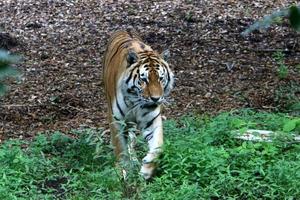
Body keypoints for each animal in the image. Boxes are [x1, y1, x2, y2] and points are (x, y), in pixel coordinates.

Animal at [102, 30, 175, 179]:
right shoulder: (116, 121)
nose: (156, 99)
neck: (135, 101)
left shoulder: (151, 120)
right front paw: (123, 172)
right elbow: (120, 149)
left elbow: (158, 146)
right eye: (144, 79)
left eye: (161, 78)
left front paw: (146, 170)